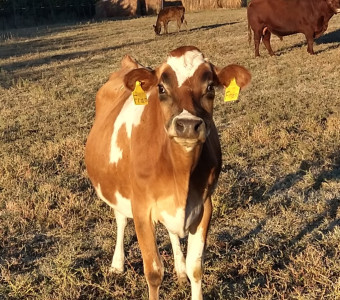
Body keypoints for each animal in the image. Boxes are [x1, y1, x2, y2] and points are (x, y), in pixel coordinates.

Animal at [85, 45, 250, 300]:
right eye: (161, 88)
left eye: (210, 87)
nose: (188, 125)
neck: (180, 174)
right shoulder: (141, 209)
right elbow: (153, 272)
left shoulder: (204, 205)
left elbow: (196, 267)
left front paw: (185, 270)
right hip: (116, 191)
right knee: (121, 220)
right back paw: (117, 264)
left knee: (172, 233)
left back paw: (179, 269)